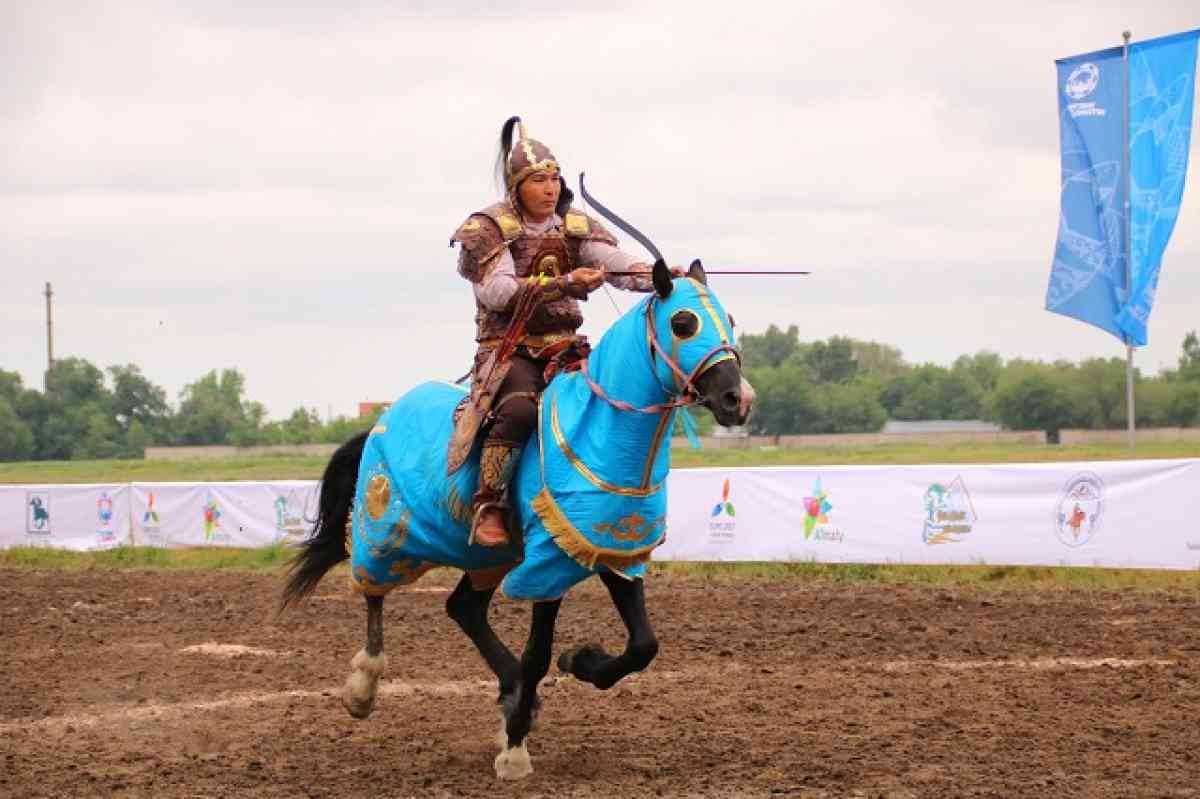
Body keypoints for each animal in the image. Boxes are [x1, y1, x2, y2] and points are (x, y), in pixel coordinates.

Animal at [282, 251, 748, 772]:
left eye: (728, 320)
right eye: (683, 323)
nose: (738, 399)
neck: (604, 434)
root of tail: (382, 420)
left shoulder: (608, 545)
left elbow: (643, 645)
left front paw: (579, 662)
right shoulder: (548, 557)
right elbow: (538, 653)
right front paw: (515, 749)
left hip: (490, 554)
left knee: (462, 608)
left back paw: (510, 692)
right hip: (385, 532)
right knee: (372, 591)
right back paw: (364, 687)